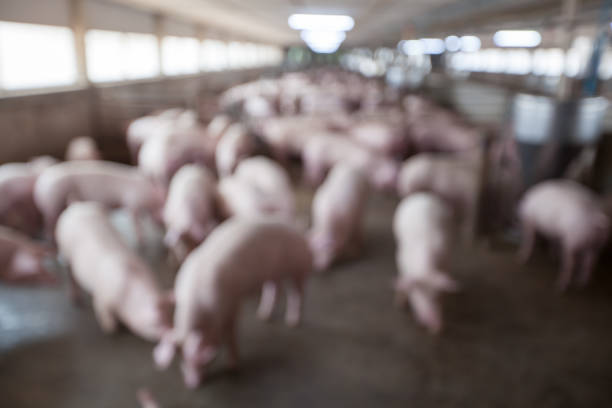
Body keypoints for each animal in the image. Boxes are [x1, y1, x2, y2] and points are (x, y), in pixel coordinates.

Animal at [33, 160, 163, 242]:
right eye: (162, 203)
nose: (162, 222)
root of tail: (39, 187)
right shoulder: (132, 201)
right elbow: (135, 219)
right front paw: (141, 238)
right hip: (53, 203)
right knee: (49, 222)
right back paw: (50, 237)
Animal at [56, 203, 173, 342]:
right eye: (156, 323)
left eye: (170, 317)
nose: (172, 333)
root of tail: (76, 206)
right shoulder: (102, 298)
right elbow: (104, 313)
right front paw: (111, 329)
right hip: (64, 249)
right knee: (70, 273)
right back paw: (75, 299)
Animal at [153, 218, 310, 388]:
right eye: (182, 359)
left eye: (204, 362)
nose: (192, 385)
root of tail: (297, 230)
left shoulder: (232, 303)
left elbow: (230, 335)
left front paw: (233, 368)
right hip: (273, 273)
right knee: (274, 288)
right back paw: (264, 316)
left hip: (298, 268)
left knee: (296, 293)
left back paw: (293, 322)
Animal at [392, 193, 460, 334]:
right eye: (420, 293)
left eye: (436, 295)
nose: (437, 326)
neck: (426, 270)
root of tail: (423, 195)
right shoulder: (400, 260)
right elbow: (403, 280)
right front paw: (399, 304)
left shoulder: (446, 262)